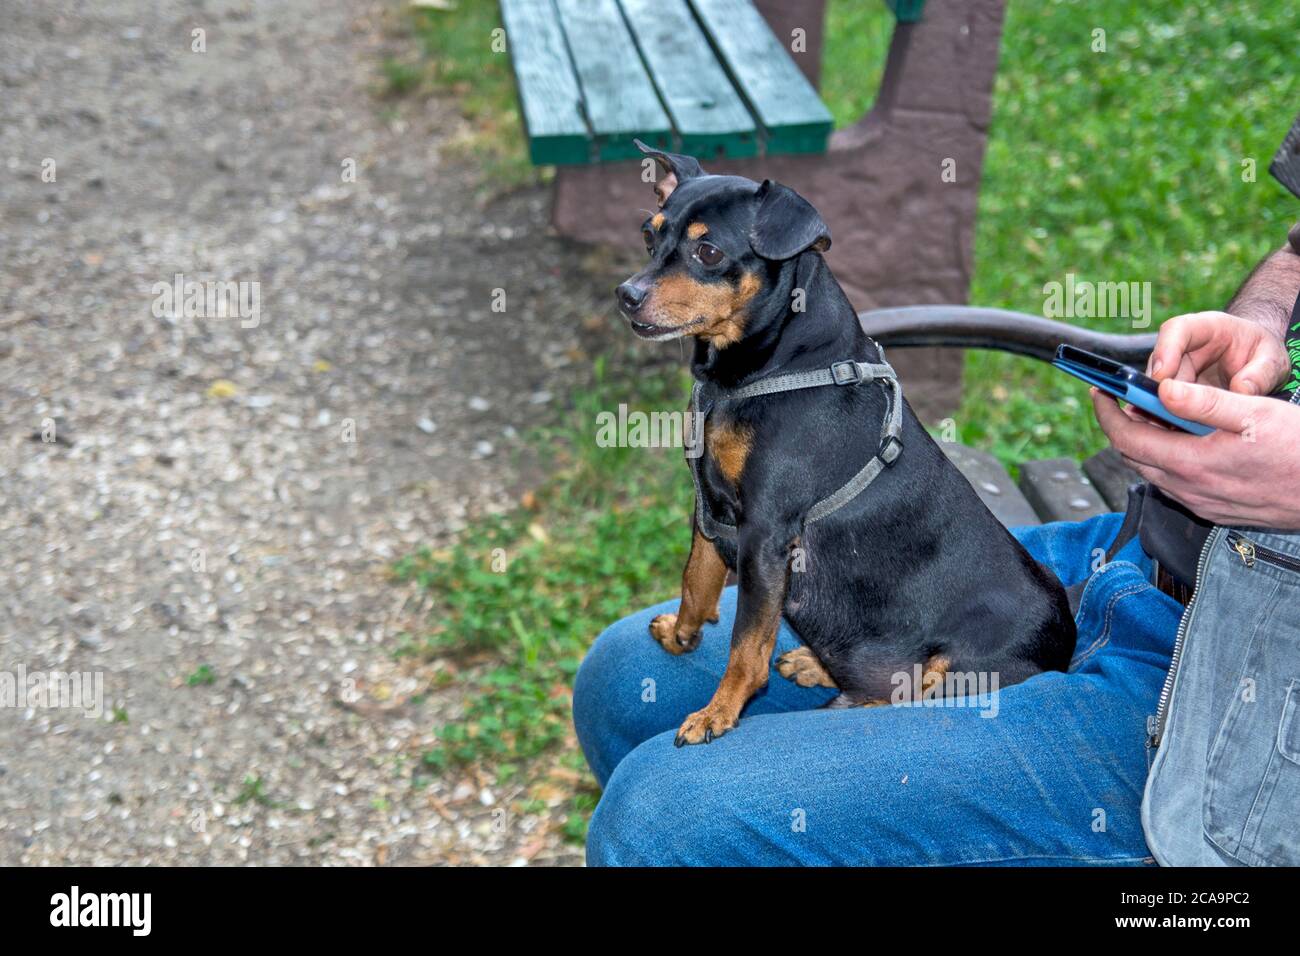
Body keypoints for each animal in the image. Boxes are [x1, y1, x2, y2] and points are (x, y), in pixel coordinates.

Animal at [616, 140, 1076, 749]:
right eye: (649, 235)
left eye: (708, 251)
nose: (626, 295)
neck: (764, 370)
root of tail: (1068, 644)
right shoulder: (712, 507)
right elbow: (697, 579)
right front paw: (682, 635)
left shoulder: (766, 534)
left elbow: (746, 644)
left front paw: (719, 712)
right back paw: (816, 663)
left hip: (961, 671)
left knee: (899, 698)